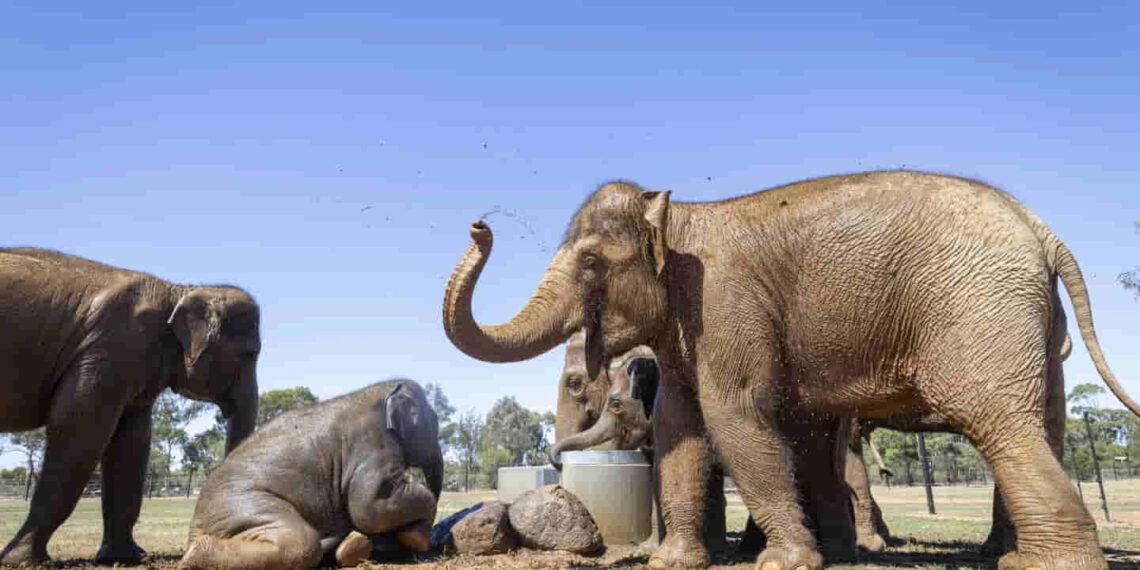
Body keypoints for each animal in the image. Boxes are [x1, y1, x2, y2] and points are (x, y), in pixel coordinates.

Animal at [0, 248, 261, 566]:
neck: (175, 291)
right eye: (249, 354)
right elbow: (79, 430)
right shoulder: (108, 349)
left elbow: (131, 444)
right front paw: (22, 560)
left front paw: (125, 557)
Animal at [180, 379, 443, 570]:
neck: (380, 390)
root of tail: (194, 527)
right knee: (302, 542)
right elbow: (370, 507)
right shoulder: (372, 447)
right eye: (436, 422)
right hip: (240, 504)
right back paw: (194, 555)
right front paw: (415, 538)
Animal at [442, 170, 1140, 570]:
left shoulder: (725, 308)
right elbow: (680, 430)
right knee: (1040, 426)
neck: (681, 214)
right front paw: (673, 563)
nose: (479, 224)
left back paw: (1043, 565)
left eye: (589, 262)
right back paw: (1013, 555)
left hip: (978, 308)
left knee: (1000, 423)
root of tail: (1043, 231)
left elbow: (734, 418)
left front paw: (784, 563)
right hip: (1030, 323)